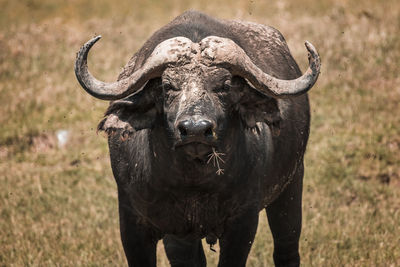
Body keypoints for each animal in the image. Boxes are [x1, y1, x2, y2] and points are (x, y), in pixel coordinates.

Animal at [73, 9, 320, 266]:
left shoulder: (243, 221)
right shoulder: (134, 221)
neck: (192, 184)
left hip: (292, 184)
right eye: (168, 86)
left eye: (224, 86)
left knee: (286, 247)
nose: (195, 130)